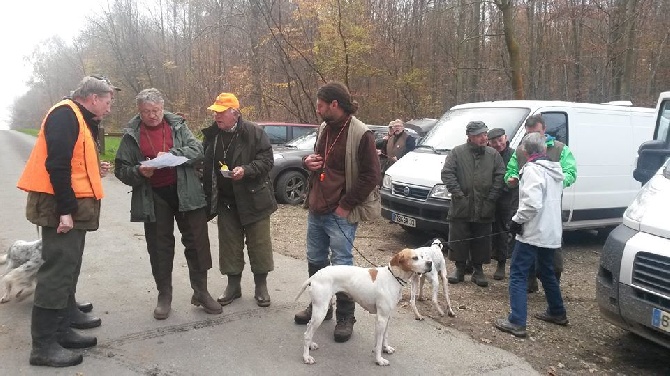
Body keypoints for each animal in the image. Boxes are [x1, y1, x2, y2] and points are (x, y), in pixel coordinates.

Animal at [296, 248, 434, 366]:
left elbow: (384, 336)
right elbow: (379, 341)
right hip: (321, 310)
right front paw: (379, 360)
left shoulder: (387, 317)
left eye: (422, 256)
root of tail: (314, 276)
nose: (430, 263)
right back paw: (306, 357)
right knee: (307, 334)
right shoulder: (381, 318)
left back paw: (311, 345)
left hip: (319, 310)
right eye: (415, 258)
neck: (393, 278)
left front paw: (386, 348)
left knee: (308, 327)